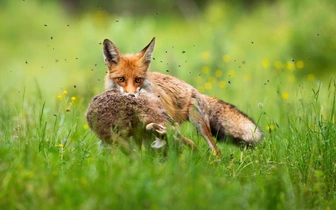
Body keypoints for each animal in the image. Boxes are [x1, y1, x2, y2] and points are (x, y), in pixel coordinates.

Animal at [101, 37, 262, 156]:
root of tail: (196, 90)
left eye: (138, 80)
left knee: (215, 151)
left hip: (198, 123)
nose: (132, 95)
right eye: (121, 79)